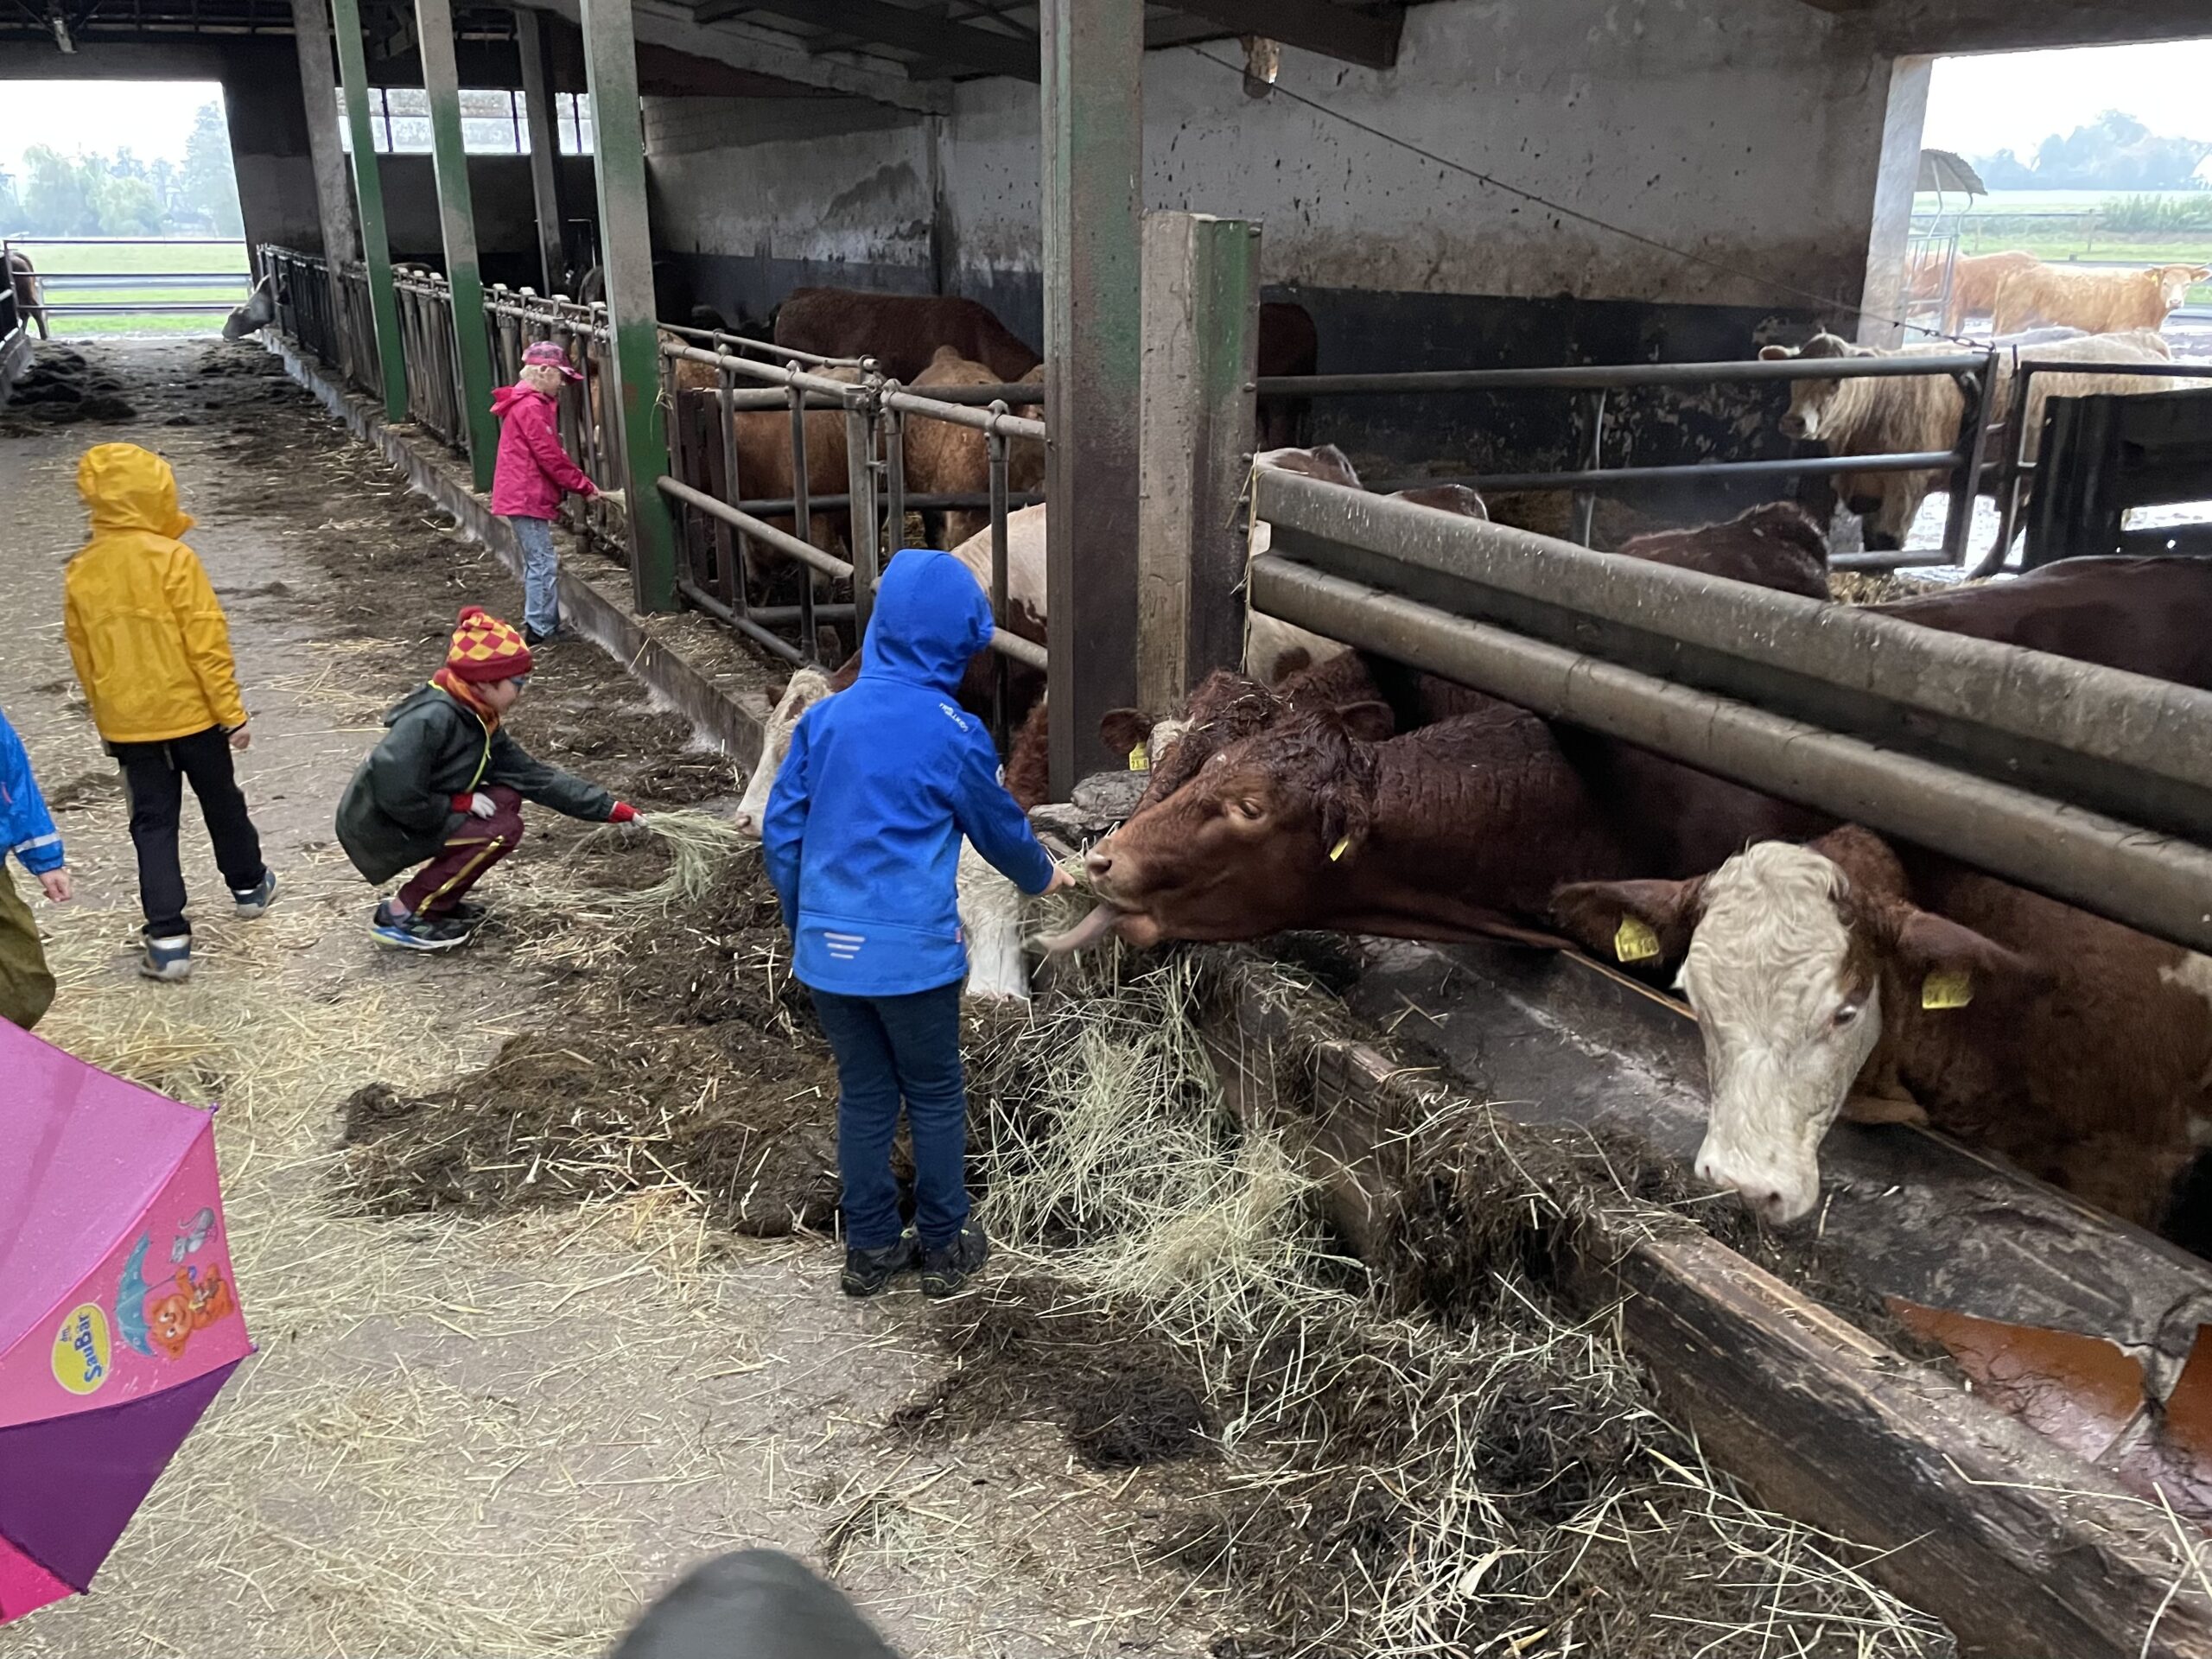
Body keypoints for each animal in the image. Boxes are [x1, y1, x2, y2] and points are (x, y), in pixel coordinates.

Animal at [1757, 329, 2179, 550]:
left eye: (1837, 379)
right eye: (1795, 375)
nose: (1795, 421)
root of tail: (2140, 340)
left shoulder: (1906, 485)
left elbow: (1887, 542)